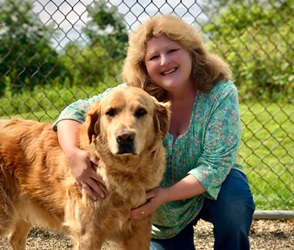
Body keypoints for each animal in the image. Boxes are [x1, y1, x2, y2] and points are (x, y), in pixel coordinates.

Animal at [0, 86, 170, 250]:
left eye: (141, 112)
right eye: (110, 112)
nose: (124, 137)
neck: (123, 170)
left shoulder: (139, 232)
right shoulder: (87, 234)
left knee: (15, 238)